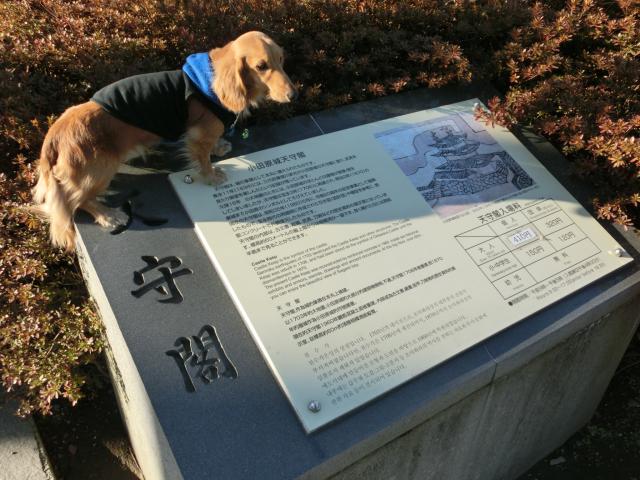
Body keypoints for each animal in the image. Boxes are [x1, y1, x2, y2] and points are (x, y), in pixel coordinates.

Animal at [31, 31, 297, 252]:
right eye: (261, 66)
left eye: (282, 59)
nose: (294, 95)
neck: (211, 83)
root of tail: (54, 135)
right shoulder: (198, 136)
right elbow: (203, 159)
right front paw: (212, 177)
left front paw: (220, 146)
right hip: (100, 169)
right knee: (75, 201)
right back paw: (108, 215)